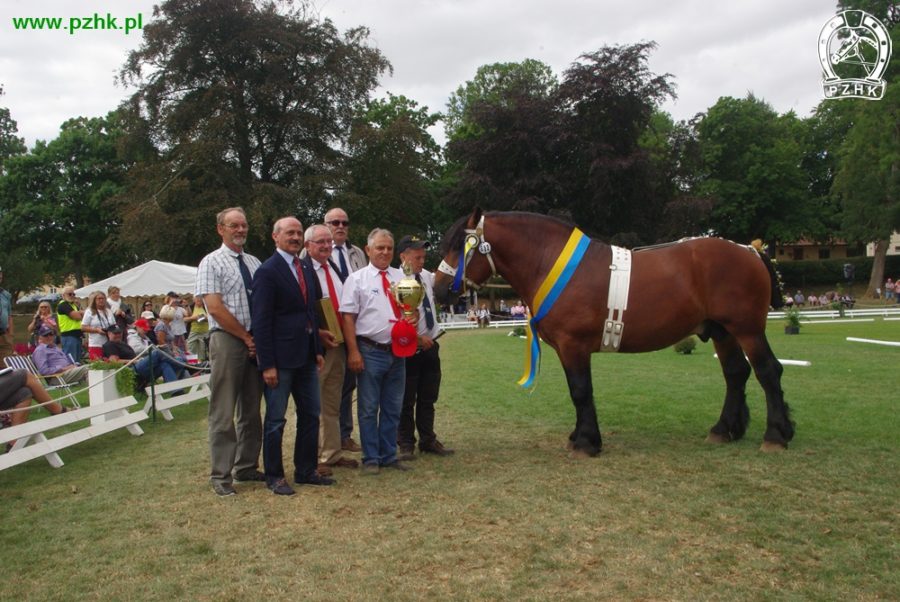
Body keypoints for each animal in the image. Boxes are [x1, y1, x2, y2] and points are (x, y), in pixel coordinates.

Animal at [436, 209, 796, 452]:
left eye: (460, 246)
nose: (439, 290)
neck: (551, 263)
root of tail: (749, 251)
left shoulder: (574, 346)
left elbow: (581, 391)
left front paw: (586, 441)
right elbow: (580, 392)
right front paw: (580, 436)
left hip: (747, 330)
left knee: (768, 372)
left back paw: (776, 435)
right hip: (723, 332)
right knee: (736, 374)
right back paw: (724, 429)